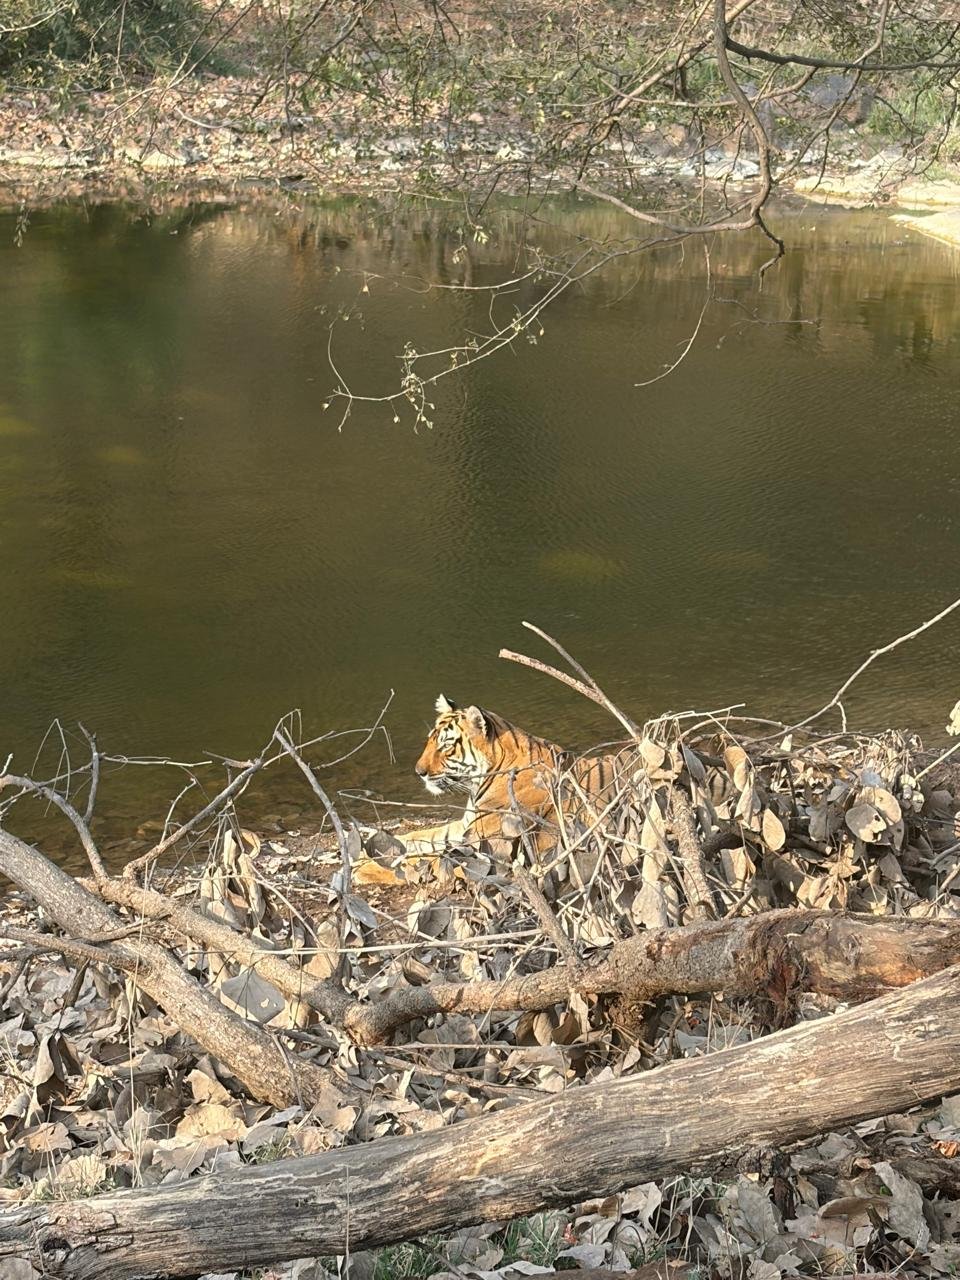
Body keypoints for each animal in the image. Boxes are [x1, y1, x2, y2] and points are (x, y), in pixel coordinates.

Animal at [412, 694, 637, 854]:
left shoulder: (481, 836)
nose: (418, 772)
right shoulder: (465, 824)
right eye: (430, 740)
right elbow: (421, 837)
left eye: (446, 746)